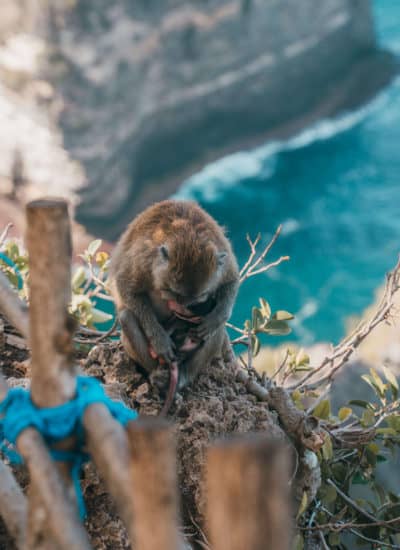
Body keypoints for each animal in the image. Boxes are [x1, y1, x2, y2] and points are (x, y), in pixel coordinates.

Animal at [109, 201, 239, 412]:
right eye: (173, 292)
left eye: (197, 298)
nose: (177, 308)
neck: (187, 235)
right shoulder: (144, 258)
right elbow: (126, 287)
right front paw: (160, 339)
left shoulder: (222, 259)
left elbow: (231, 281)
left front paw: (215, 319)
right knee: (127, 317)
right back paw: (158, 376)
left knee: (216, 330)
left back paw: (182, 377)